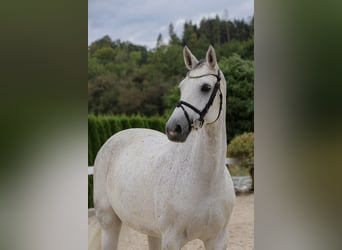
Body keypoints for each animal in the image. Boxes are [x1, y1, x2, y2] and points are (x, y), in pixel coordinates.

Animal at [94, 45, 238, 250]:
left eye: (206, 87)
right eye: (181, 87)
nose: (173, 129)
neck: (206, 179)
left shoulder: (217, 240)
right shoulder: (172, 239)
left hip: (152, 231)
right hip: (109, 222)